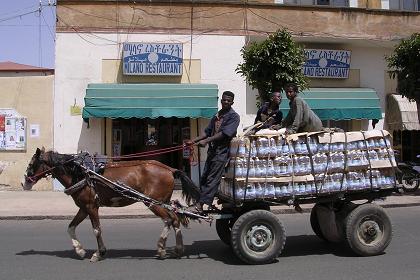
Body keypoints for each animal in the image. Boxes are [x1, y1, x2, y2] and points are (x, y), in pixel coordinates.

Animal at [20, 148, 201, 262]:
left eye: (32, 163)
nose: (24, 183)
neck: (80, 172)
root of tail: (170, 169)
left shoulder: (91, 207)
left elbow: (96, 229)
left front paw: (99, 253)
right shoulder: (84, 207)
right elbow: (70, 227)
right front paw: (79, 250)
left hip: (152, 202)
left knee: (168, 220)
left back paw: (162, 248)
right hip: (163, 202)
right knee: (175, 218)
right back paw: (178, 249)